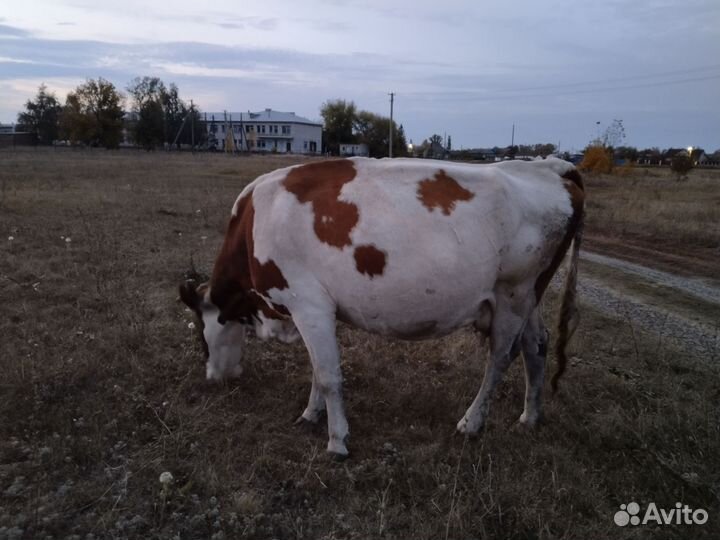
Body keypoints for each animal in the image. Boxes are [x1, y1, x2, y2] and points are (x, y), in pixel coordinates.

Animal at [179, 156, 584, 459]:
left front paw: (337, 441)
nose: (212, 377)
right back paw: (530, 417)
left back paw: (472, 423)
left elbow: (328, 375)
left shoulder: (307, 304)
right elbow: (318, 370)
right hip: (527, 296)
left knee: (501, 356)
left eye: (202, 338)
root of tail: (551, 165)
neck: (255, 221)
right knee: (536, 346)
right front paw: (311, 414)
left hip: (514, 292)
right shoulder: (316, 311)